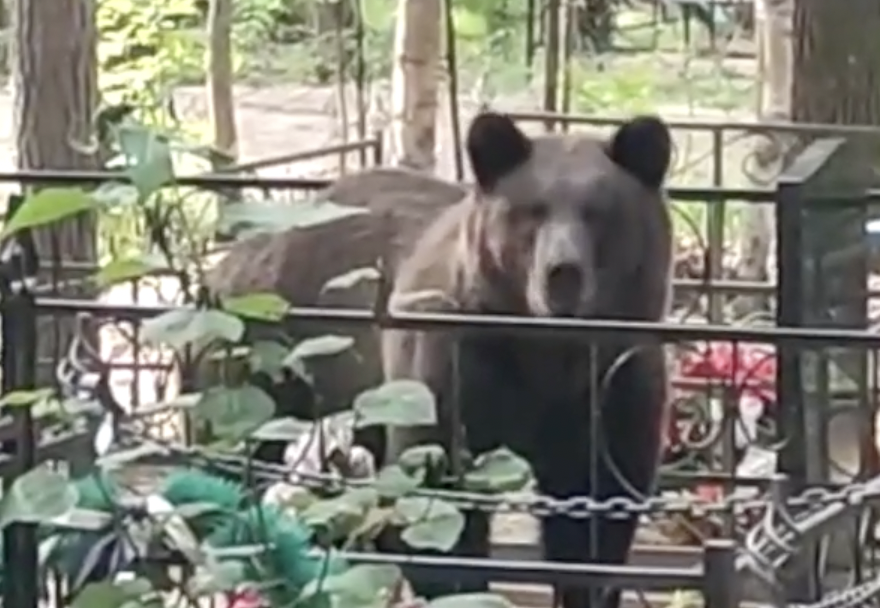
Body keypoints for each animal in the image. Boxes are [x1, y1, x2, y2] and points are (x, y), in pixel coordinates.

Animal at [380, 111, 672, 608]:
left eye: (599, 211)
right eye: (532, 209)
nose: (563, 273)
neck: (546, 352)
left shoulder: (611, 386)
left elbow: (594, 513)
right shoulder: (457, 369)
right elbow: (441, 502)